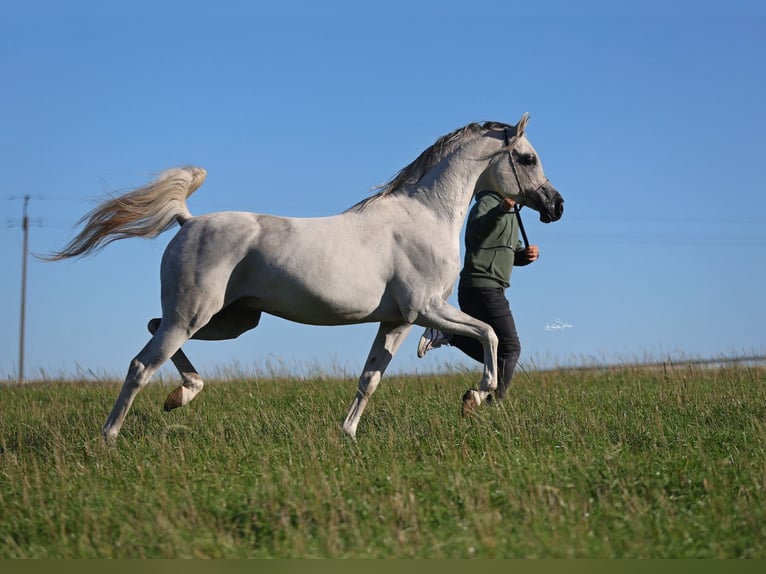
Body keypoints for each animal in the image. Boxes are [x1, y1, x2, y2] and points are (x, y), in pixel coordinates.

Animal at [48, 113, 564, 440]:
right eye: (528, 158)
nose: (556, 205)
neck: (425, 216)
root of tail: (187, 221)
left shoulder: (396, 321)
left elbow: (369, 378)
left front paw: (347, 435)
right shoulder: (427, 309)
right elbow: (490, 333)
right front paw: (477, 395)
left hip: (230, 320)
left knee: (154, 333)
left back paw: (181, 396)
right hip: (193, 317)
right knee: (141, 364)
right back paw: (110, 437)